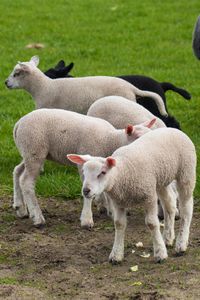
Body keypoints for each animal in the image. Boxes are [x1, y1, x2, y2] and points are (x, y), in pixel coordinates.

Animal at [13, 106, 155, 226]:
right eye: (137, 137)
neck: (109, 140)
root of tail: (19, 123)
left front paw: (110, 211)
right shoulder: (85, 162)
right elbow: (87, 191)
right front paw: (87, 219)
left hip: (29, 153)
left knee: (17, 171)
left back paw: (20, 208)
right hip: (34, 149)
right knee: (26, 181)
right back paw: (37, 217)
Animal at [68, 127, 196, 264]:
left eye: (102, 172)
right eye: (83, 172)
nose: (86, 191)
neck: (122, 172)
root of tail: (173, 129)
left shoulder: (149, 196)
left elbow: (152, 223)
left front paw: (160, 253)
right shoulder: (118, 202)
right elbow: (119, 224)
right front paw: (116, 254)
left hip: (186, 172)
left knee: (186, 208)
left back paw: (181, 244)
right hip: (161, 180)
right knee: (170, 205)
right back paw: (167, 238)